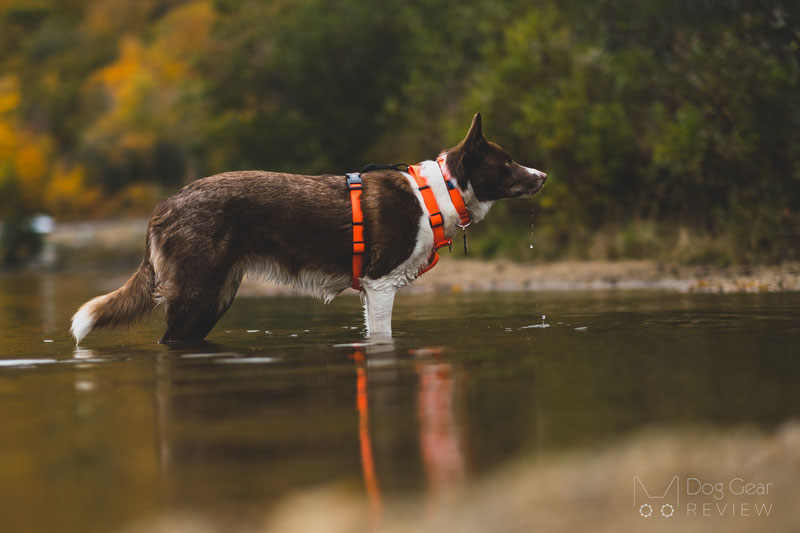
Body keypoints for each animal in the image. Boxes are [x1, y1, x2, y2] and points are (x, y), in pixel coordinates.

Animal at [72, 113, 548, 344]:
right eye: (506, 162)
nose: (543, 175)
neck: (434, 194)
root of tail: (164, 205)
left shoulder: (370, 292)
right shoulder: (380, 285)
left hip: (215, 297)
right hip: (197, 294)